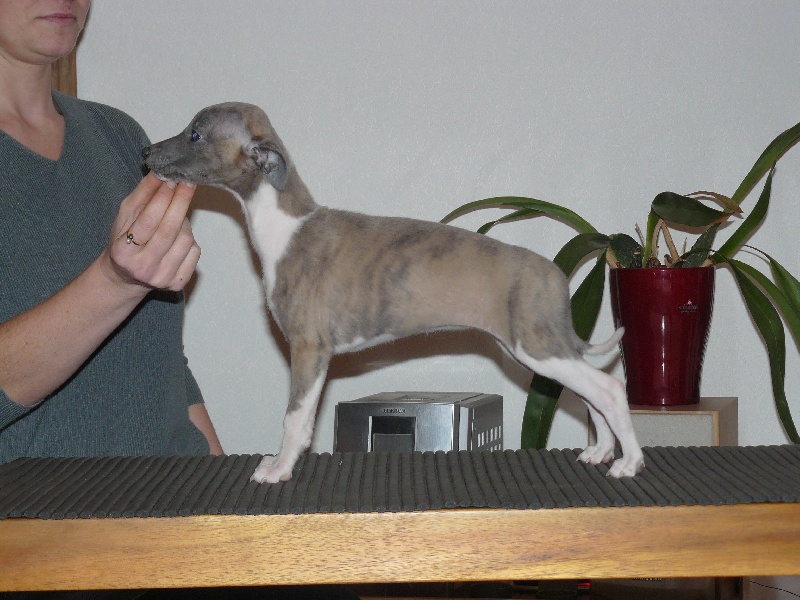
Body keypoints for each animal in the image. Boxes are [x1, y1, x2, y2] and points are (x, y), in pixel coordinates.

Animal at [142, 102, 645, 483]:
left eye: (195, 134)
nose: (146, 153)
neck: (286, 227)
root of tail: (554, 274)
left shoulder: (309, 349)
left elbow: (295, 418)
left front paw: (279, 469)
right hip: (541, 348)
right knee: (590, 394)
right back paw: (600, 451)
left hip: (537, 346)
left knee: (607, 389)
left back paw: (630, 462)